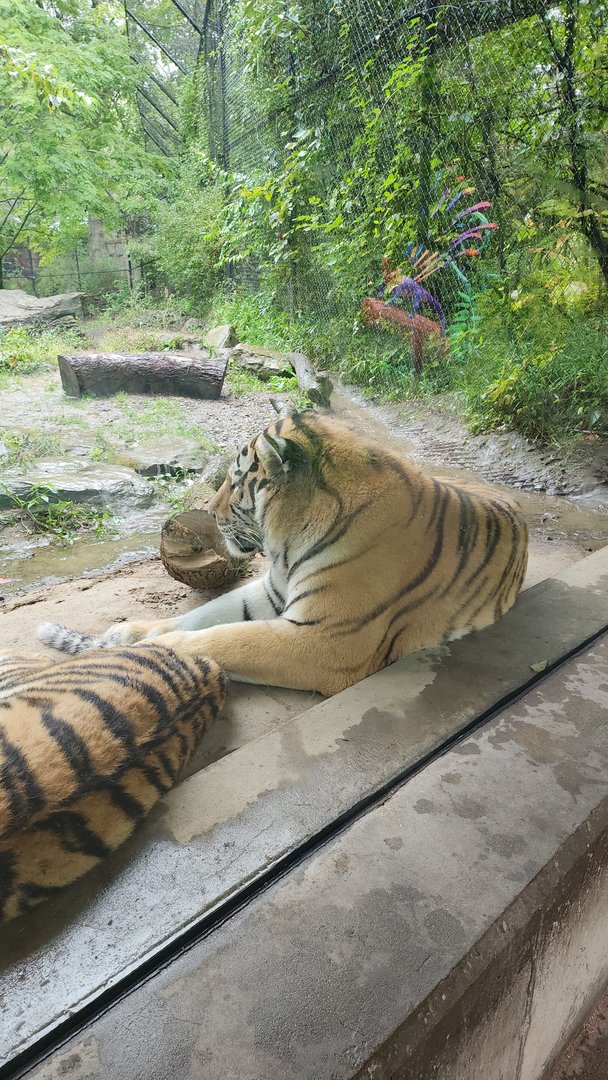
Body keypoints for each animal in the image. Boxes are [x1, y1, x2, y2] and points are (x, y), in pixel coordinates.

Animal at [38, 411, 528, 698]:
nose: (209, 512)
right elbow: (202, 616)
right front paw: (127, 634)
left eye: (236, 482)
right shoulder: (269, 592)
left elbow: (227, 639)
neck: (292, 543)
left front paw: (157, 648)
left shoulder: (327, 639)